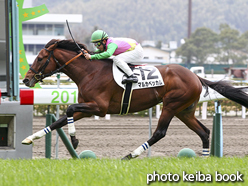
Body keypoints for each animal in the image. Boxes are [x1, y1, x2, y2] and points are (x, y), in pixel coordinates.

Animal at [21, 39, 248, 160]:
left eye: (40, 58)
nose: (26, 79)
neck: (90, 72)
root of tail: (195, 76)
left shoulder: (98, 107)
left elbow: (68, 110)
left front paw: (75, 141)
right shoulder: (86, 108)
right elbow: (60, 120)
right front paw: (30, 138)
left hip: (171, 105)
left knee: (160, 132)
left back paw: (131, 154)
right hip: (185, 111)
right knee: (204, 131)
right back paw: (204, 157)